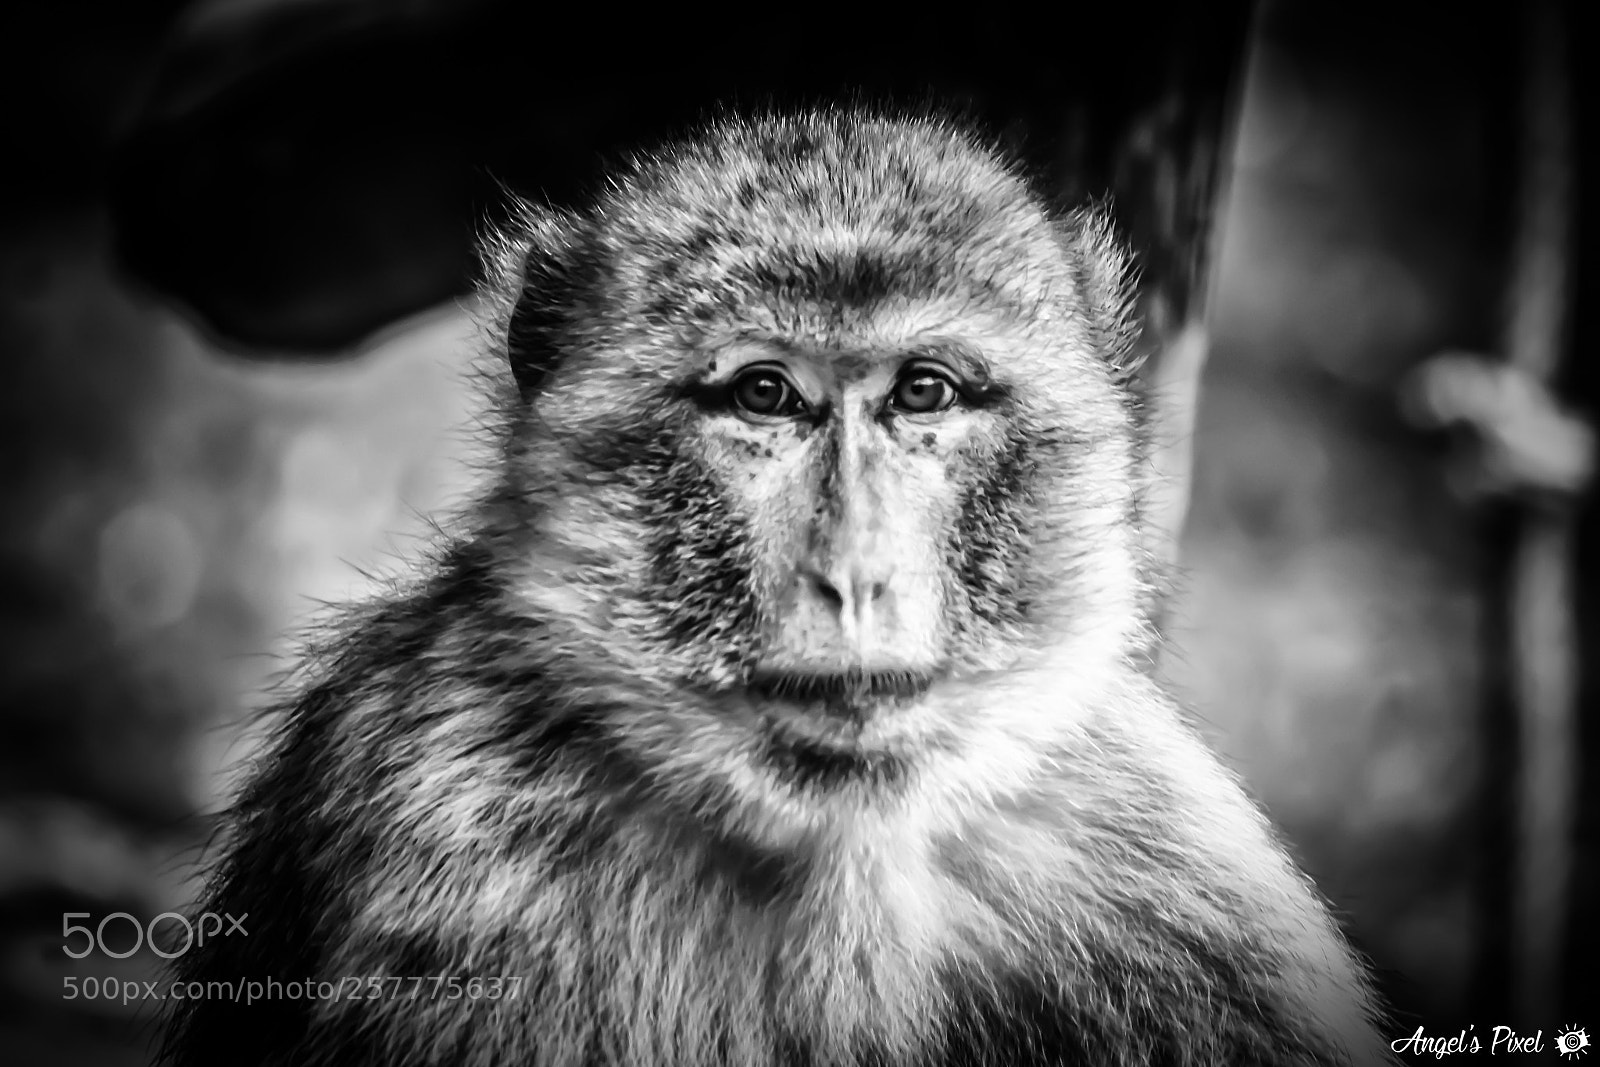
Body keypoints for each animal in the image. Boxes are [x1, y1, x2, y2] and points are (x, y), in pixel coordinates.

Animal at [160, 108, 1391, 1067]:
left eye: (923, 392)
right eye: (765, 395)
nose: (855, 575)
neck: (834, 857)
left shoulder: (1165, 865)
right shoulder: (434, 825)